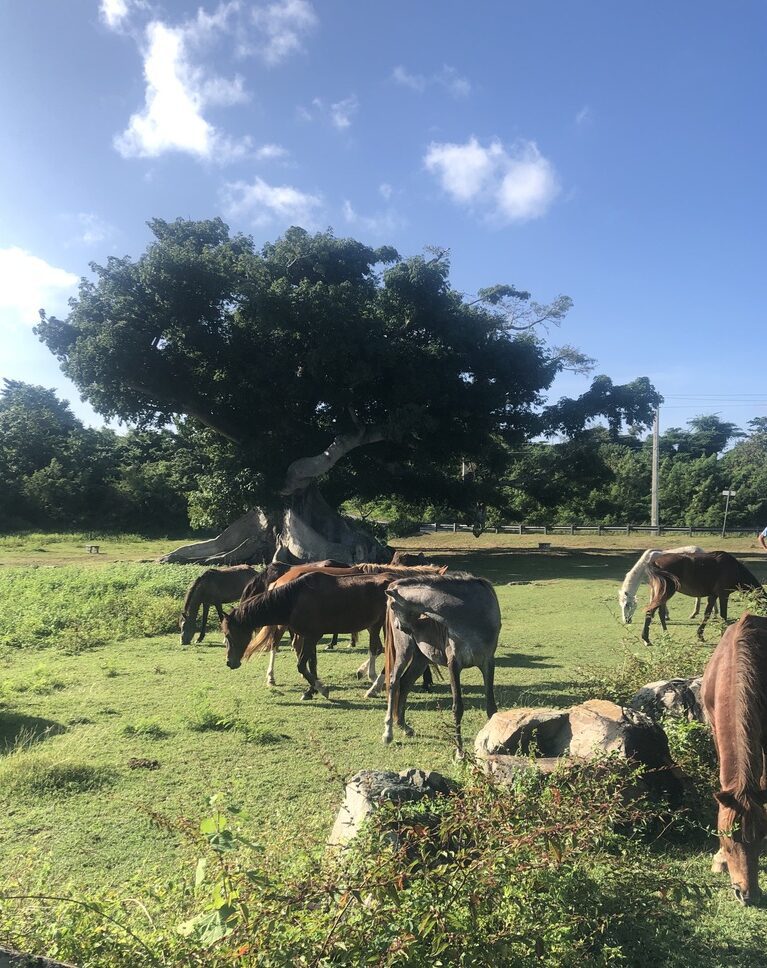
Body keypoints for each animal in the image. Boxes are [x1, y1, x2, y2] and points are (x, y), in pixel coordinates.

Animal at [221, 572, 396, 700]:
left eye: (229, 635)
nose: (230, 663)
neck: (294, 600)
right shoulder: (308, 637)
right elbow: (312, 664)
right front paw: (311, 690)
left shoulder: (312, 637)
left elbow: (301, 665)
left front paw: (321, 689)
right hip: (375, 626)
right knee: (377, 649)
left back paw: (374, 688)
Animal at [382, 572, 501, 755]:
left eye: (393, 606)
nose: (399, 626)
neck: (470, 613)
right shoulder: (454, 664)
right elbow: (458, 708)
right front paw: (459, 752)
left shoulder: (488, 662)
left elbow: (491, 707)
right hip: (404, 652)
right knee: (394, 682)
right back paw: (388, 733)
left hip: (421, 659)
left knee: (405, 682)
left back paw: (403, 726)